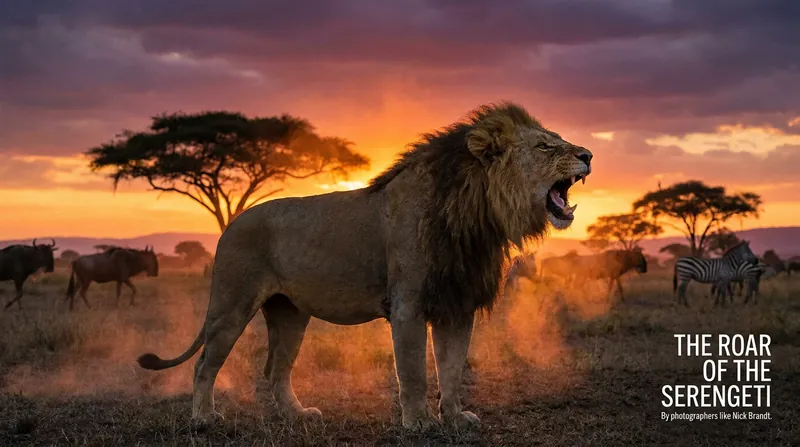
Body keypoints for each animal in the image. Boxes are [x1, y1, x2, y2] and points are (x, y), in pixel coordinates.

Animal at [137, 102, 593, 429]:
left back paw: (297, 416)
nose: (588, 154)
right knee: (204, 364)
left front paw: (455, 417)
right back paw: (203, 419)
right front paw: (419, 423)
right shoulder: (408, 305)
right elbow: (414, 371)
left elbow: (452, 368)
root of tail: (230, 224)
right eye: (545, 146)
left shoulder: (456, 304)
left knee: (275, 369)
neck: (474, 215)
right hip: (231, 305)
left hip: (290, 313)